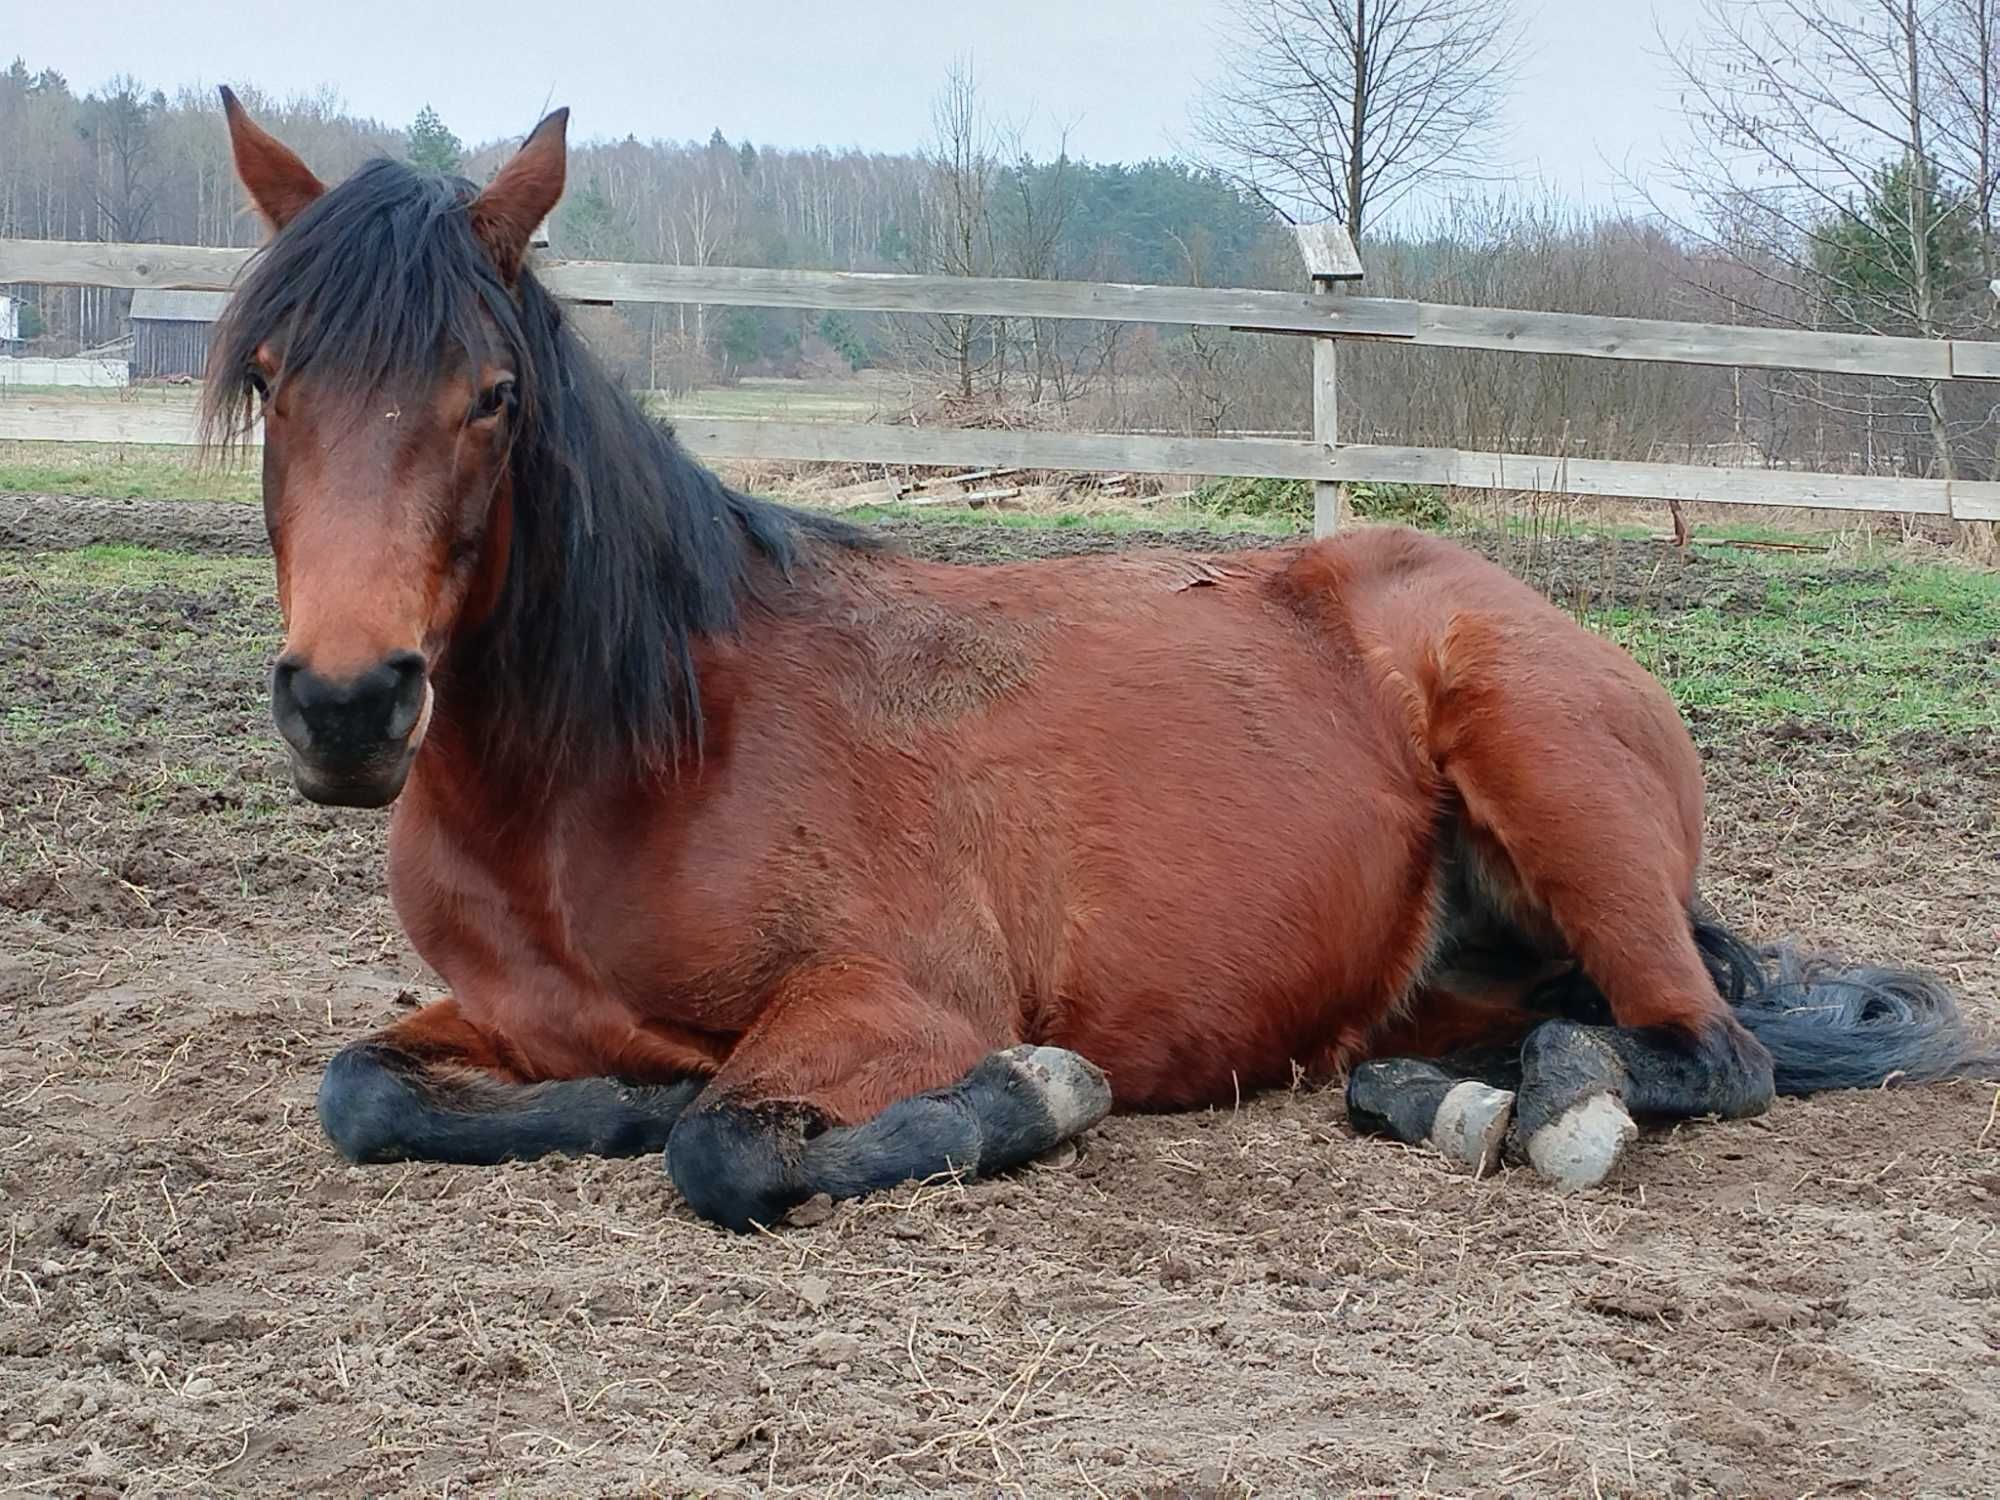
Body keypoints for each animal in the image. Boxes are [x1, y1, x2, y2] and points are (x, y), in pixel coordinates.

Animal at [211, 91, 1992, 1232]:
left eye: (493, 395)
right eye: (275, 377)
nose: (350, 704)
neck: (630, 766)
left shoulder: (889, 1003)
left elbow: (722, 1152)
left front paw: (1038, 1095)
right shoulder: (500, 1014)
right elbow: (361, 1094)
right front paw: (617, 1101)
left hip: (1553, 786)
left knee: (1704, 1053)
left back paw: (1552, 1116)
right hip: (1449, 969)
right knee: (1525, 1037)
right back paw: (1455, 1098)